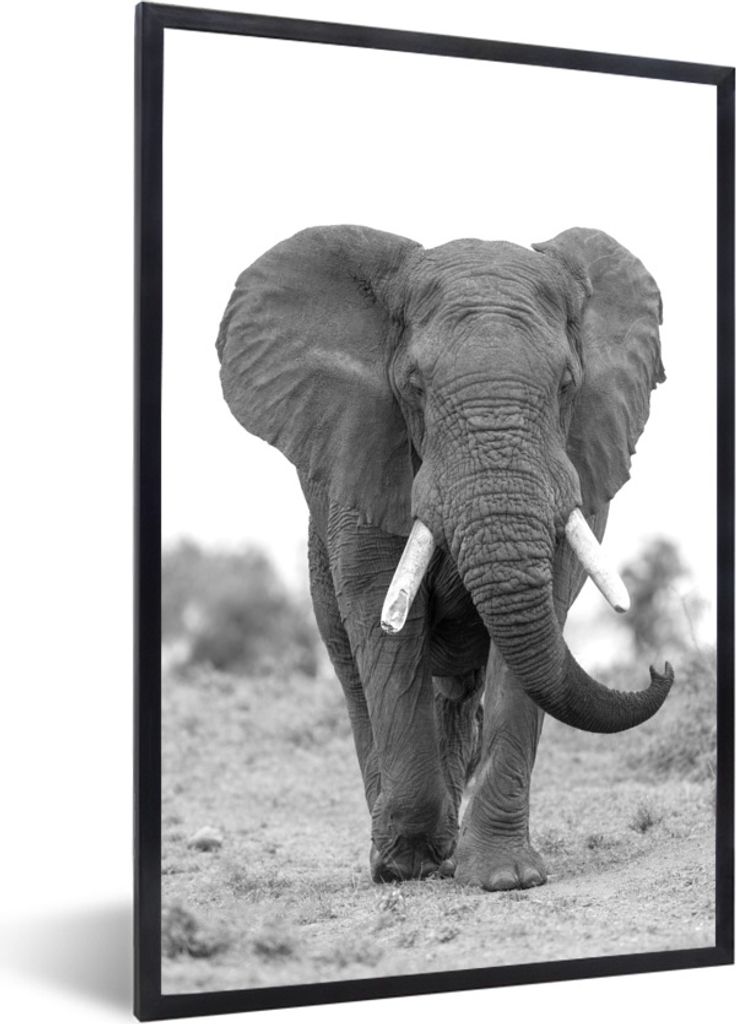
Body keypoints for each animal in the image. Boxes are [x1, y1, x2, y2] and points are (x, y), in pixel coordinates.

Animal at [215, 224, 674, 890]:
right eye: (414, 387)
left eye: (566, 385)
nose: (661, 668)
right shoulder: (365, 462)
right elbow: (382, 619)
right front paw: (404, 866)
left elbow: (539, 623)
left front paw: (505, 877)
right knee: (358, 679)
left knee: (460, 689)